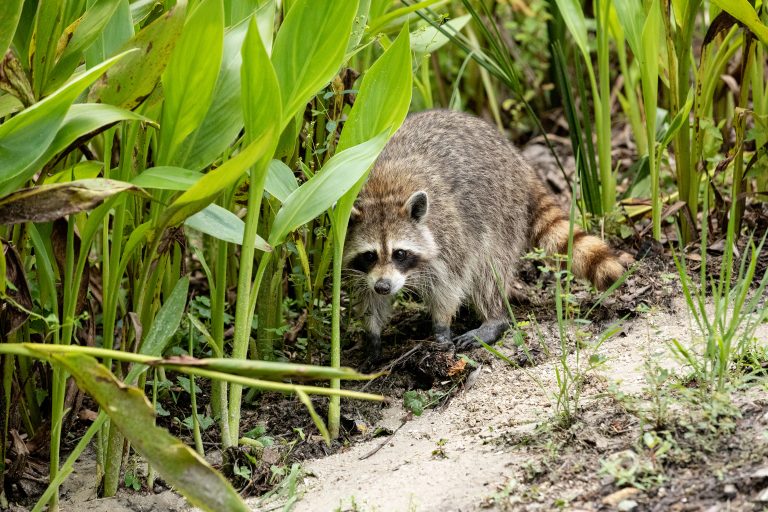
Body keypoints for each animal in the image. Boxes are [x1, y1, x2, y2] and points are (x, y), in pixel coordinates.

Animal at [344, 110, 628, 362]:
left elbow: (450, 283)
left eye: (400, 253)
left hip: (503, 211)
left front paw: (441, 323)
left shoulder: (449, 235)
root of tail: (518, 159)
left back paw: (494, 318)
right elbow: (367, 294)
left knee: (488, 271)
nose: (384, 287)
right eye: (369, 256)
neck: (383, 194)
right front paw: (372, 332)